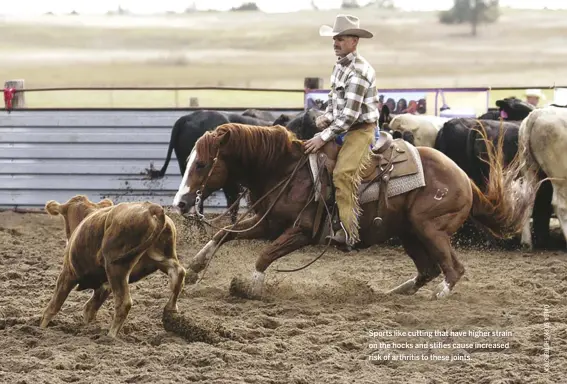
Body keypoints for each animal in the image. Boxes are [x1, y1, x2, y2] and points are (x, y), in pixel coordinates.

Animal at [40, 196, 186, 338]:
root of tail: (151, 208)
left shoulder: (68, 273)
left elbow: (53, 306)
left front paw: (41, 327)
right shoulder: (104, 286)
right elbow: (89, 308)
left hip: (116, 267)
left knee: (124, 303)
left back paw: (110, 336)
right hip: (162, 258)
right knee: (178, 273)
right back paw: (171, 310)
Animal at [173, 123, 536, 300]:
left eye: (202, 163)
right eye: (189, 160)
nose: (180, 202)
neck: (285, 169)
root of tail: (465, 179)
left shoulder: (301, 231)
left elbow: (265, 255)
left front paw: (251, 287)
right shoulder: (270, 222)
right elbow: (225, 233)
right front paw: (195, 269)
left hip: (429, 228)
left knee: (452, 269)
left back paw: (439, 296)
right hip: (410, 232)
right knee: (428, 269)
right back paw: (393, 292)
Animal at [516, 105, 567, 249]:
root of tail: (537, 113)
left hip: (529, 170)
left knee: (527, 201)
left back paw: (526, 242)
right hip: (559, 175)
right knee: (560, 205)